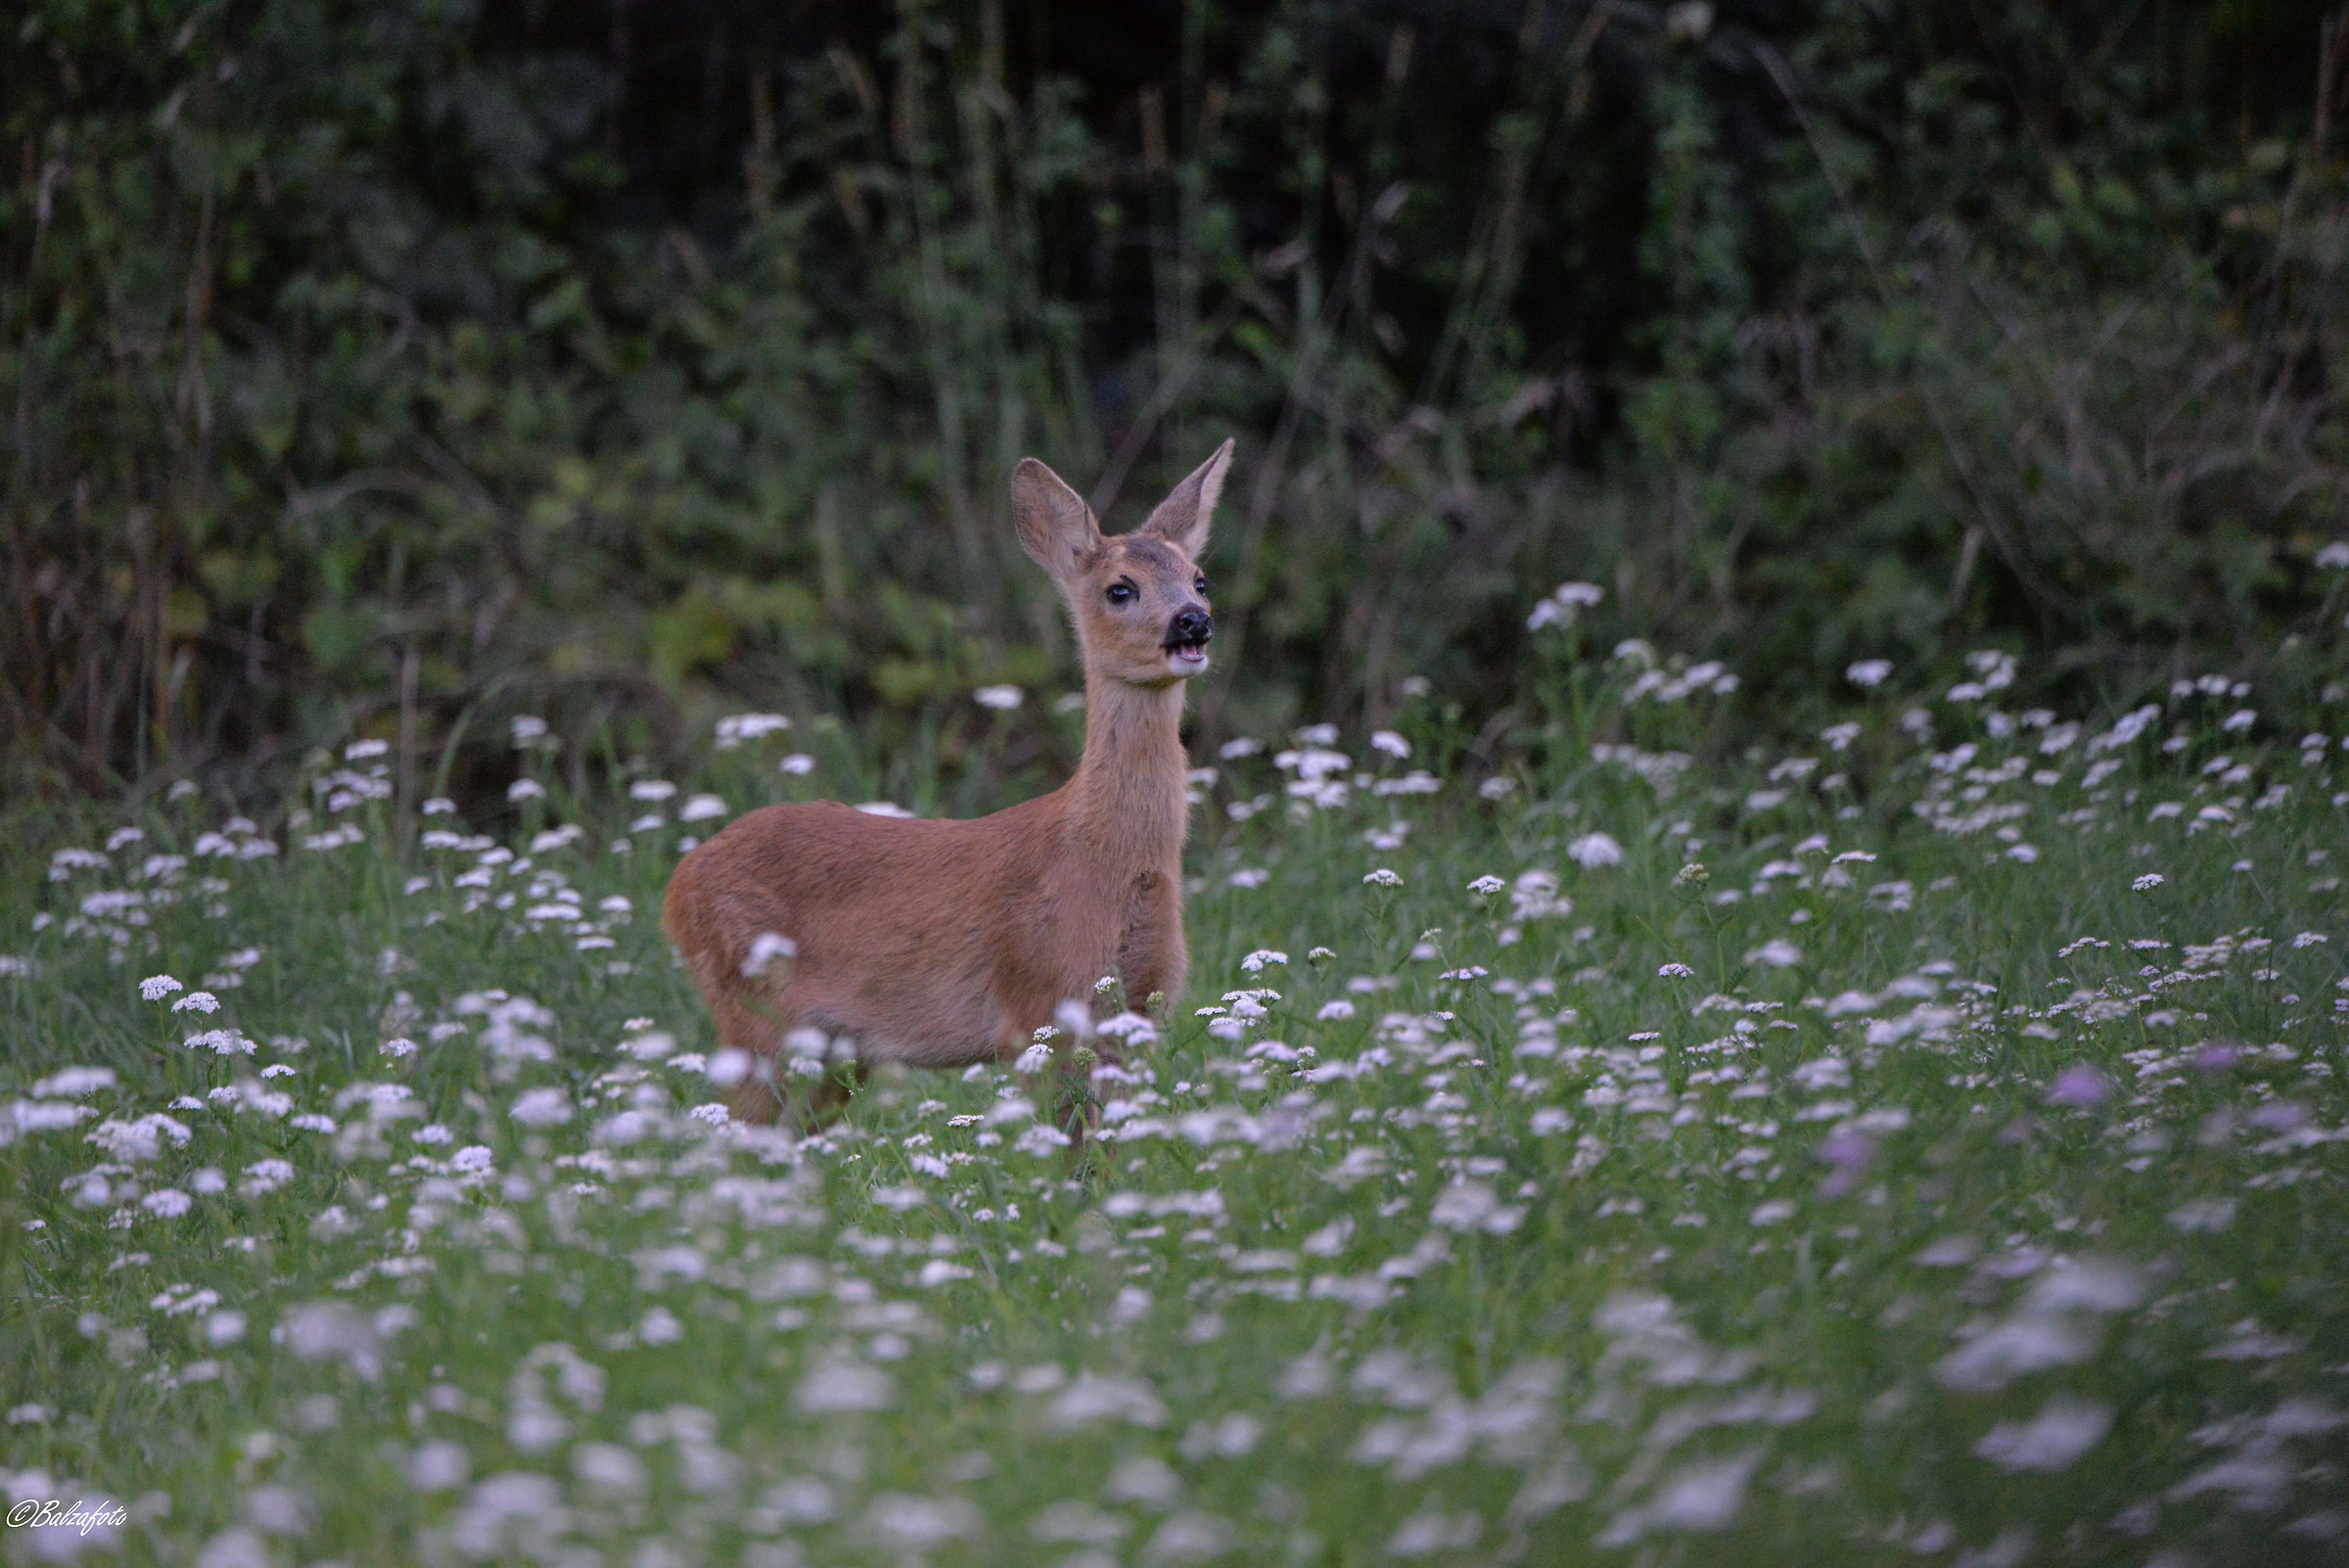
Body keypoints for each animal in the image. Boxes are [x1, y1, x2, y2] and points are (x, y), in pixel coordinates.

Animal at [662, 440, 1233, 1126]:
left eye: (1199, 578)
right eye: (1120, 589)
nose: (1192, 621)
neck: (1102, 860)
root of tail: (677, 884)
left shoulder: (1142, 1005)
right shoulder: (1037, 1005)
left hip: (833, 1057)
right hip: (752, 1014)